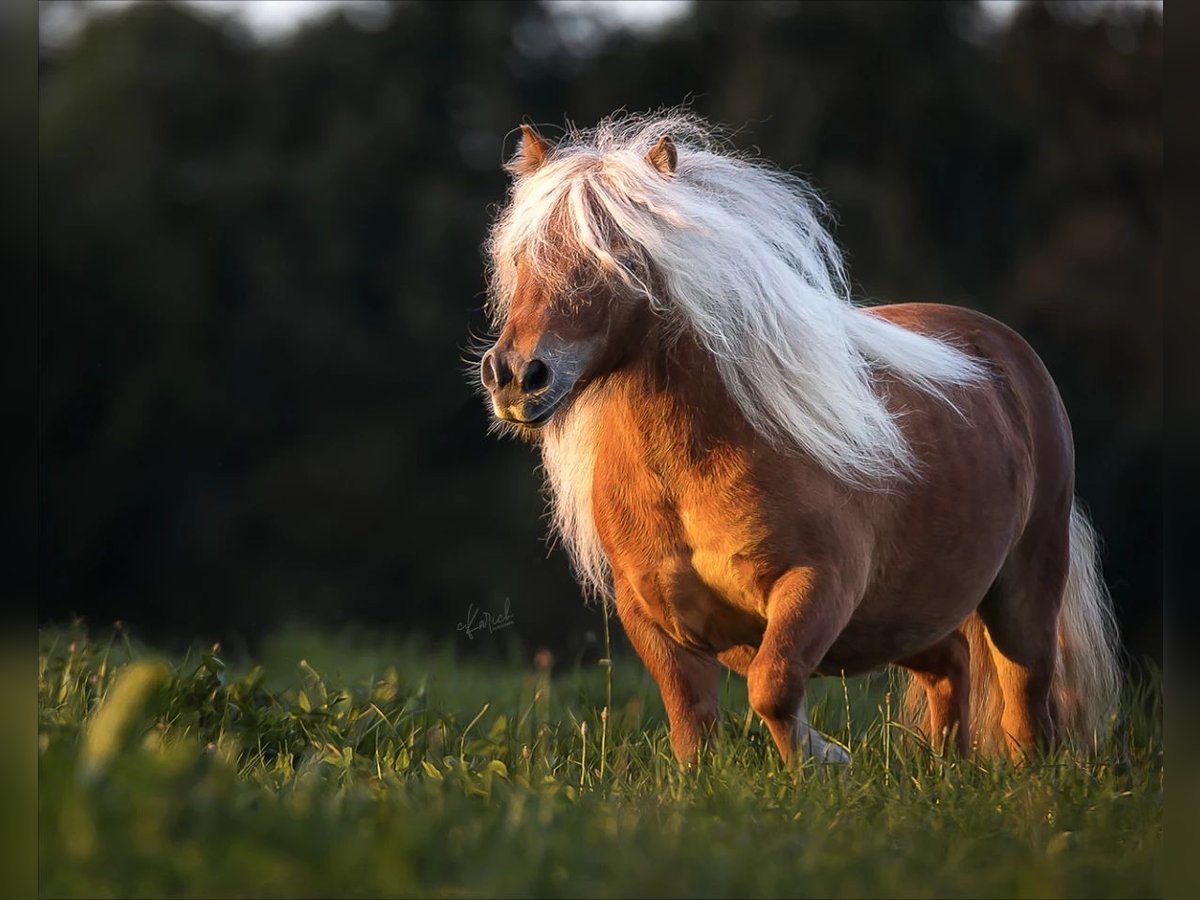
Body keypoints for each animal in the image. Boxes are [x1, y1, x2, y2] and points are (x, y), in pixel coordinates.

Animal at [472, 109, 1118, 763]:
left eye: (617, 255)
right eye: (521, 258)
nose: (517, 377)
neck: (692, 469)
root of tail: (1006, 352)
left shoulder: (817, 587)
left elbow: (773, 687)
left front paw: (824, 759)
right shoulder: (654, 617)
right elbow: (692, 727)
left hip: (1020, 598)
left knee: (1027, 712)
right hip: (903, 617)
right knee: (952, 668)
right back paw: (939, 767)